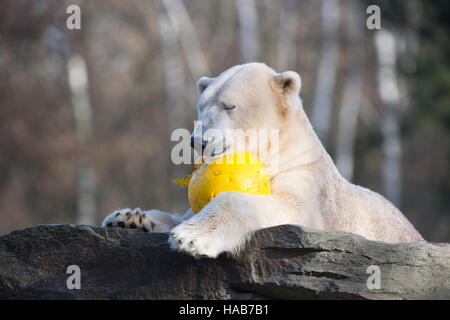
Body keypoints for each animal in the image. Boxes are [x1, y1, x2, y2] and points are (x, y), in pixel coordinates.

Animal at [103, 62, 426, 258]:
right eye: (201, 105)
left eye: (229, 105)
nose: (198, 140)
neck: (277, 149)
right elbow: (178, 214)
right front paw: (129, 218)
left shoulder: (308, 192)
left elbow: (273, 204)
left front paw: (191, 238)